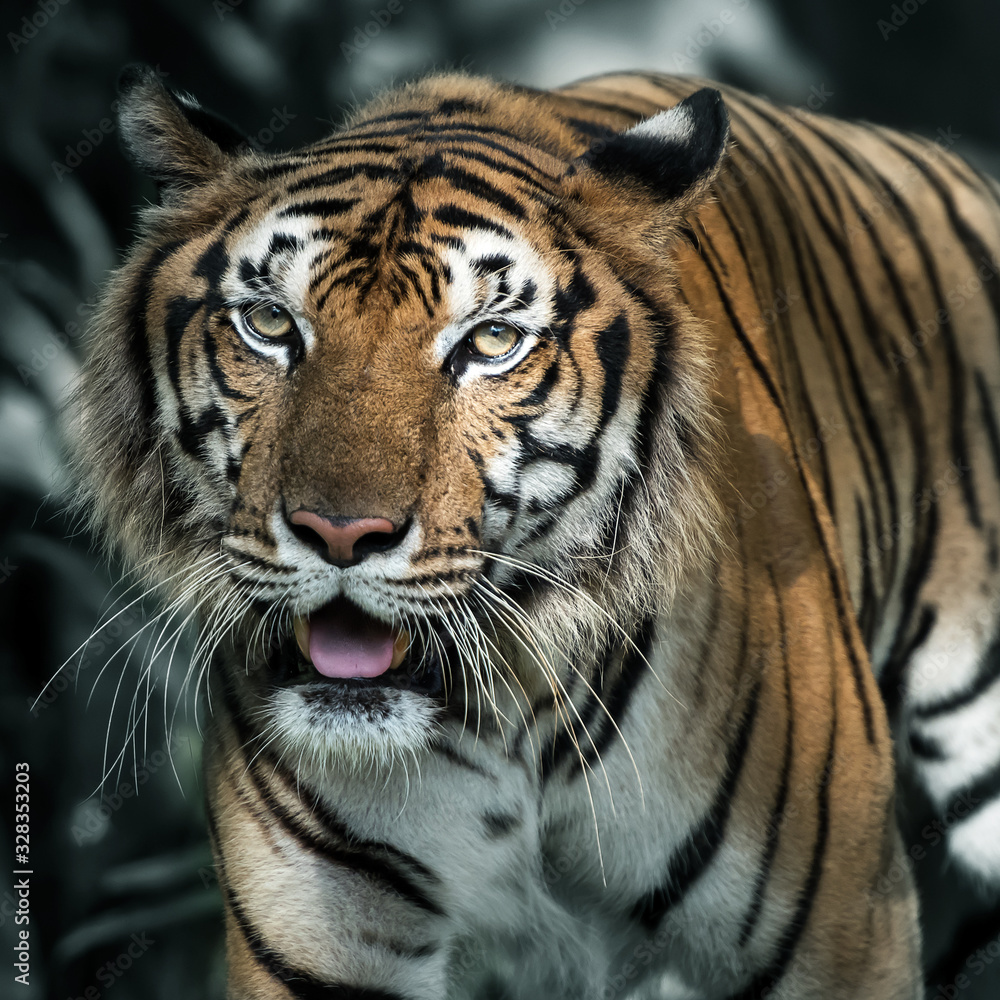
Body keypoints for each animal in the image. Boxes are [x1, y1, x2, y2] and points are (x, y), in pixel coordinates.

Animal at [68, 61, 1000, 998]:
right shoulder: (322, 944)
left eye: (490, 342)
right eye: (269, 325)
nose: (339, 534)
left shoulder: (845, 935)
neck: (508, 716)